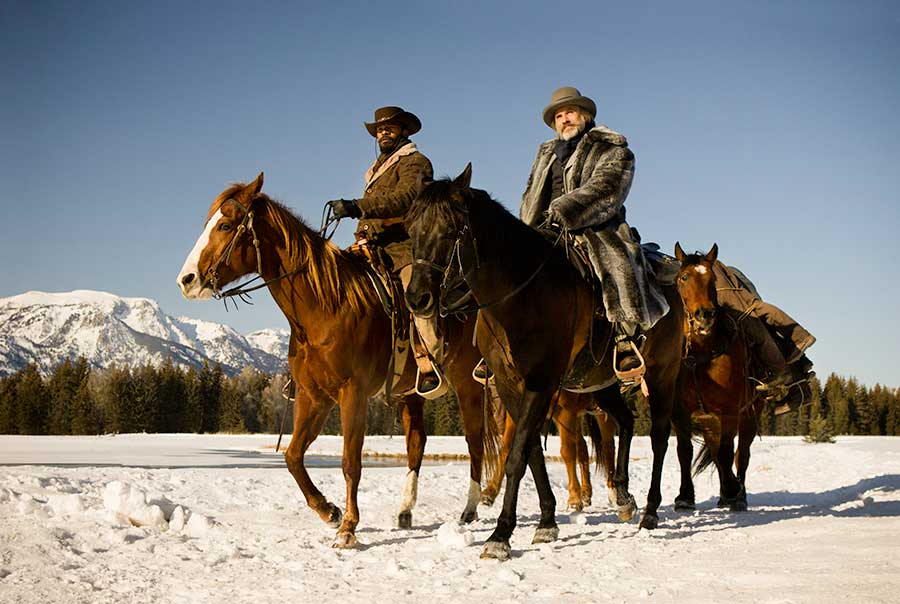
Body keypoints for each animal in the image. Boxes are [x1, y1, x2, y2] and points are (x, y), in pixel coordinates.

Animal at [176, 173, 500, 548]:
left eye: (226, 224)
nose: (186, 280)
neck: (325, 307)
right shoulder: (313, 396)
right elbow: (292, 456)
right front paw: (327, 511)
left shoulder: (352, 394)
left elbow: (350, 462)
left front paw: (348, 527)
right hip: (411, 394)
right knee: (417, 443)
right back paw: (405, 511)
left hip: (467, 383)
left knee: (475, 441)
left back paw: (470, 509)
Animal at [402, 166, 684, 560]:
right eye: (411, 228)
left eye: (451, 229)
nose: (417, 298)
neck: (518, 296)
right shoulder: (510, 384)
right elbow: (532, 451)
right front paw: (547, 522)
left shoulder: (541, 382)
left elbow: (518, 454)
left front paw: (500, 535)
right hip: (602, 383)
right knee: (626, 422)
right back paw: (623, 495)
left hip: (661, 376)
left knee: (658, 438)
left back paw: (651, 512)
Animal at [672, 243, 764, 512]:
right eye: (684, 277)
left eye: (712, 279)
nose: (705, 315)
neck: (700, 355)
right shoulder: (679, 412)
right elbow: (685, 452)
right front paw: (684, 497)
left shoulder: (730, 411)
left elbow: (727, 453)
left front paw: (734, 489)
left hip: (749, 415)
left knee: (740, 454)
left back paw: (738, 495)